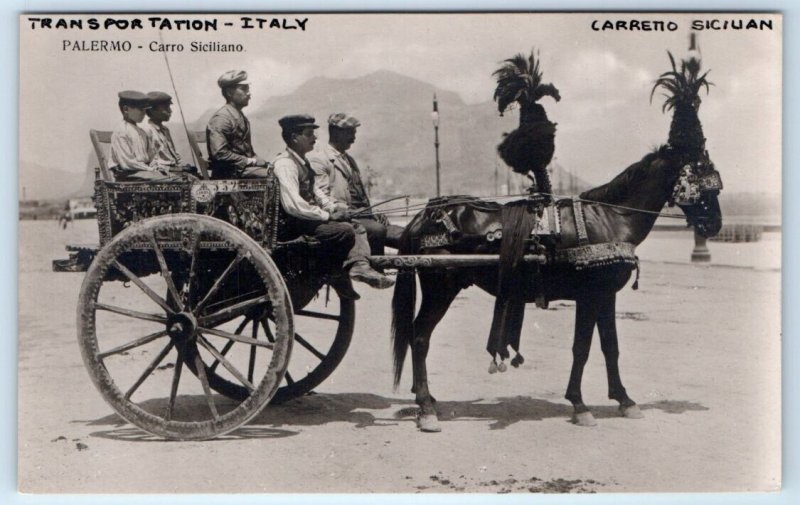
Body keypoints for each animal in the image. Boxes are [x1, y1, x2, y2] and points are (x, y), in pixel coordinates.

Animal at [390, 145, 720, 430]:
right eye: (704, 183)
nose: (715, 224)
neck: (610, 219)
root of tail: (423, 216)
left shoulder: (606, 296)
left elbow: (610, 347)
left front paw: (624, 400)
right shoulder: (589, 296)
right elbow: (582, 348)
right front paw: (579, 404)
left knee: (416, 336)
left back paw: (425, 396)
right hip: (441, 290)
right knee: (419, 336)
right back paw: (426, 407)